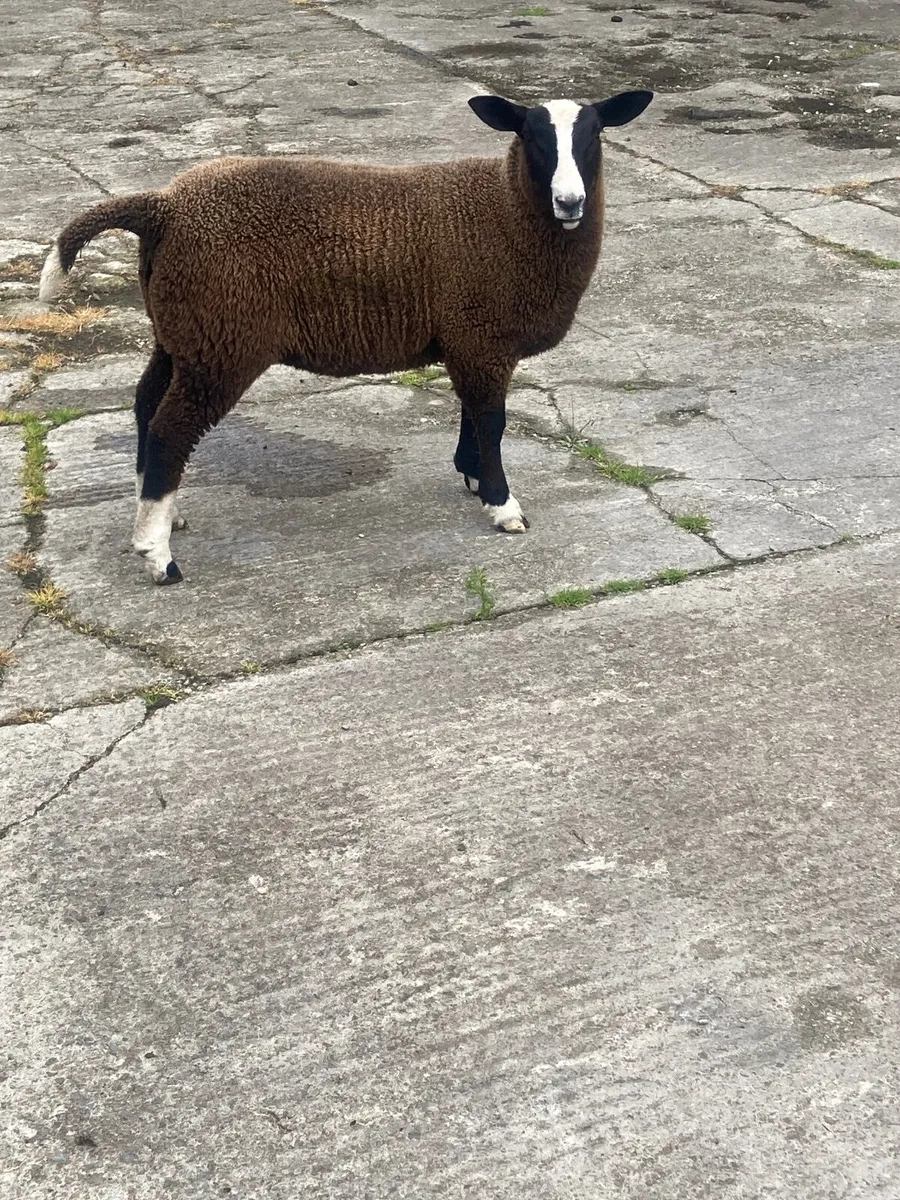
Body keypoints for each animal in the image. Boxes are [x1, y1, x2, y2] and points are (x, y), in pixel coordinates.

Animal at [39, 88, 653, 584]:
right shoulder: (482, 334)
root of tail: (163, 207)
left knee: (146, 404)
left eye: (595, 135)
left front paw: (474, 475)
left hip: (181, 331)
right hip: (223, 336)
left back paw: (162, 510)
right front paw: (503, 505)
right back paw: (157, 554)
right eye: (530, 136)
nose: (570, 202)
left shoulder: (466, 336)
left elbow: (472, 414)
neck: (504, 207)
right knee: (170, 428)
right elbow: (492, 420)